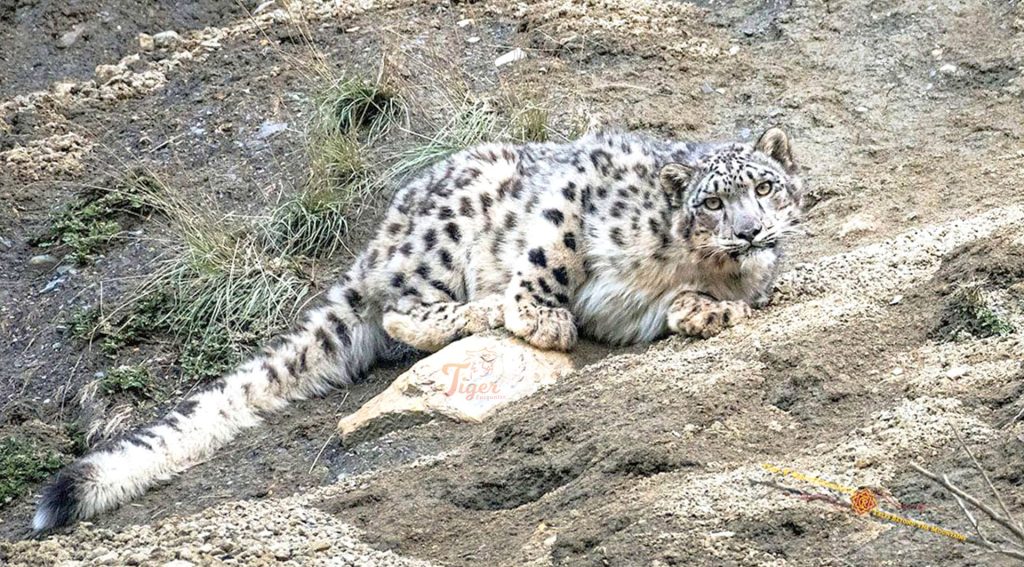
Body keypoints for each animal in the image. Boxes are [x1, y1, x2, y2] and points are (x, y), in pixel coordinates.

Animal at [32, 127, 804, 532]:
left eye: (765, 186)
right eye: (712, 200)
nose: (749, 229)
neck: (689, 263)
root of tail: (377, 239)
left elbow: (722, 301)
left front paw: (710, 309)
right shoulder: (580, 185)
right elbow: (552, 249)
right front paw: (540, 314)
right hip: (449, 227)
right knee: (398, 308)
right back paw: (489, 306)